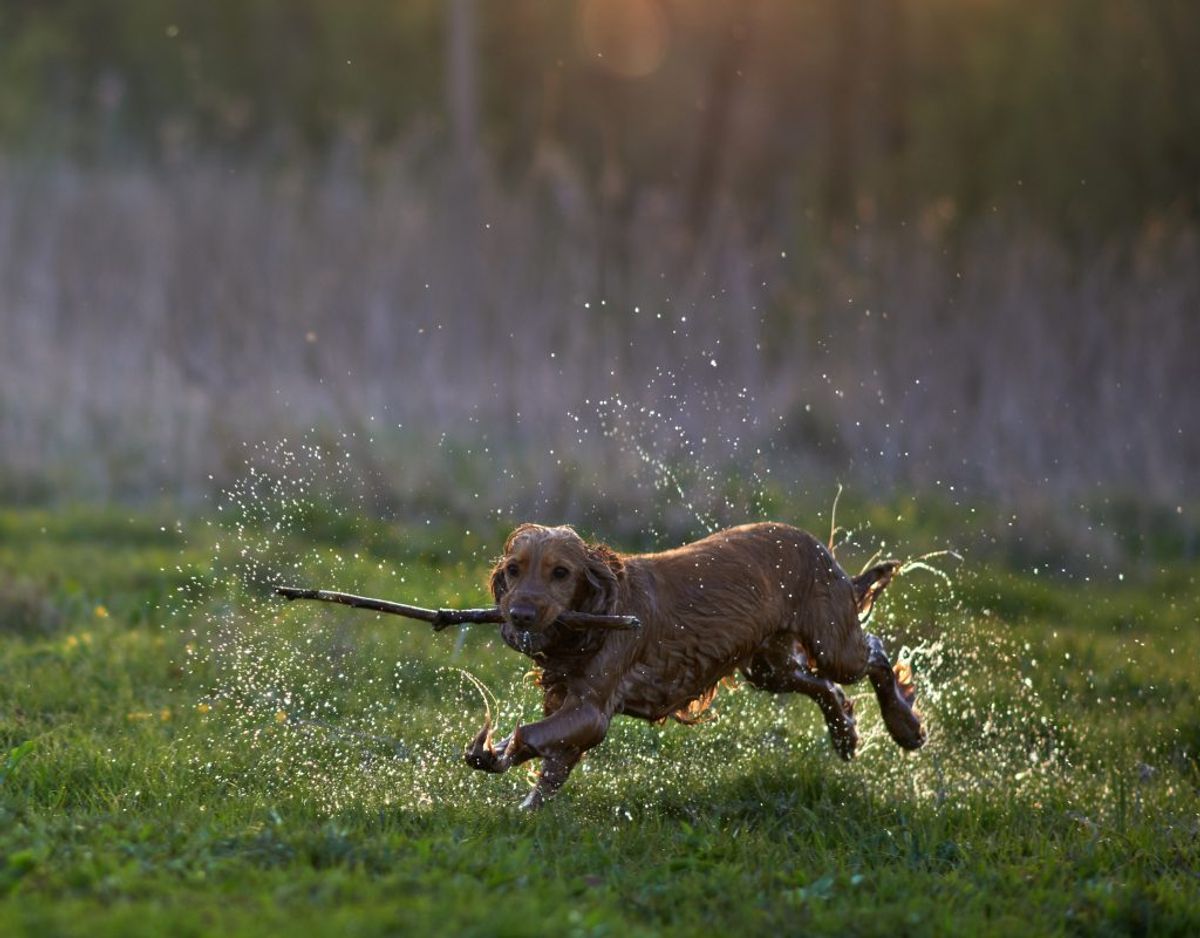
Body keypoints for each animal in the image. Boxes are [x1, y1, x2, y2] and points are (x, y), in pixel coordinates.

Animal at [463, 520, 921, 806]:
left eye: (560, 572)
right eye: (513, 570)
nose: (519, 614)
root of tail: (816, 544)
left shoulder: (591, 710)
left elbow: (531, 735)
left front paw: (492, 754)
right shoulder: (568, 704)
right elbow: (549, 763)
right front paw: (518, 801)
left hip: (833, 647)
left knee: (875, 652)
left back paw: (905, 726)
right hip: (770, 668)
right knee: (824, 687)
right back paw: (845, 735)